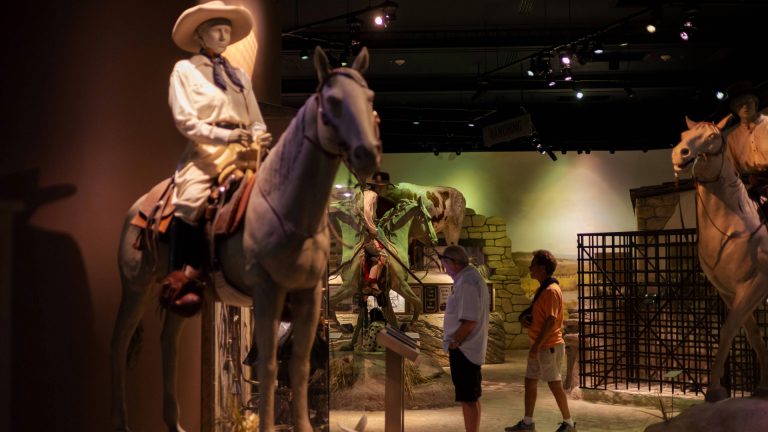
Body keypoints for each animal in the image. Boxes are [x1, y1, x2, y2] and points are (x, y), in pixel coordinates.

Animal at [111, 47, 380, 432]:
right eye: (333, 100)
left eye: (369, 97)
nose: (367, 153)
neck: (286, 208)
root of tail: (141, 204)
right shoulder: (267, 293)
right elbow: (267, 367)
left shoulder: (309, 294)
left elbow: (299, 368)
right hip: (136, 288)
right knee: (119, 344)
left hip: (182, 296)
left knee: (168, 342)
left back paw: (174, 423)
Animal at [672, 115, 768, 402]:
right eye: (683, 134)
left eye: (713, 137)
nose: (680, 154)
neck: (735, 225)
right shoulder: (729, 292)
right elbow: (753, 335)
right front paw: (762, 387)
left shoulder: (755, 285)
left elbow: (727, 331)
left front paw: (714, 390)